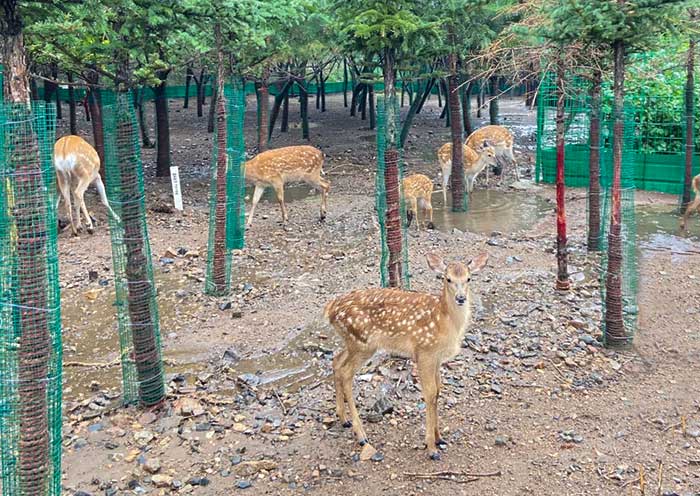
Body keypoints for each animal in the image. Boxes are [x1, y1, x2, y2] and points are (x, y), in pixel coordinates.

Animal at [324, 251, 489, 460]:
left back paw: (343, 419)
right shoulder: (424, 351)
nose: (461, 298)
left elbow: (438, 391)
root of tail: (330, 309)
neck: (445, 322)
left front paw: (439, 438)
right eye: (447, 278)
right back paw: (361, 435)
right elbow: (430, 393)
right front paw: (431, 448)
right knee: (346, 373)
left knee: (336, 361)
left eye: (469, 278)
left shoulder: (437, 358)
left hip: (352, 343)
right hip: (362, 342)